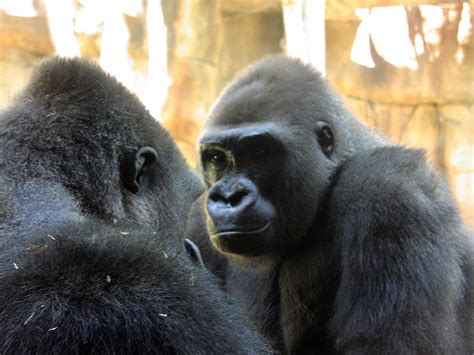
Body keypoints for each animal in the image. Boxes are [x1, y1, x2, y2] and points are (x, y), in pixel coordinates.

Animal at [190, 55, 474, 354]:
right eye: (217, 158)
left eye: (260, 153)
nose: (229, 196)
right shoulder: (197, 216)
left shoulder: (390, 191)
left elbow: (381, 346)